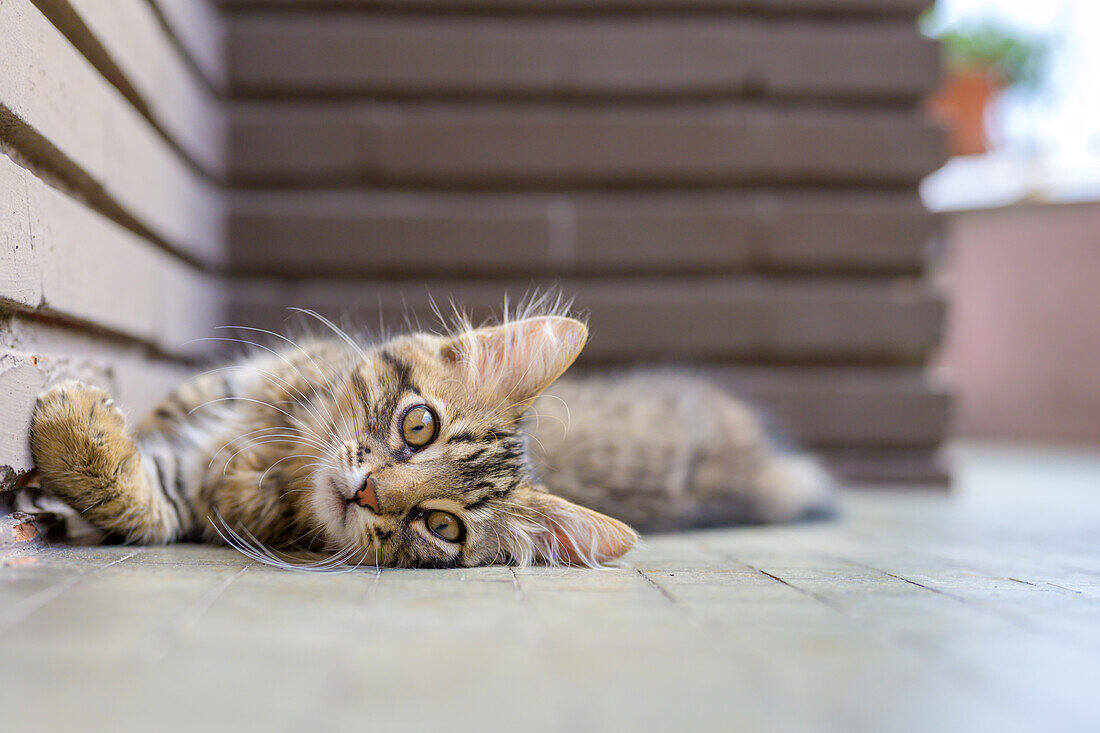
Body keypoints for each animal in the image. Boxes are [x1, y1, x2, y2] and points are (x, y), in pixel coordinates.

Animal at [25, 308, 827, 563]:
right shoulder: (238, 383)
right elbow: (170, 416)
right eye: (418, 425)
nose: (368, 490)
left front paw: (71, 423)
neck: (280, 455)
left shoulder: (201, 501)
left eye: (441, 525)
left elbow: (140, 501)